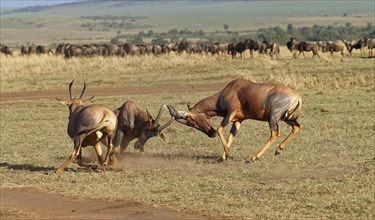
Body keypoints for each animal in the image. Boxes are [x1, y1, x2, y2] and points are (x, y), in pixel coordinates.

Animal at [167, 78, 302, 162]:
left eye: (191, 121)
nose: (211, 134)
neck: (231, 89)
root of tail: (297, 97)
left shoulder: (230, 113)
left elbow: (220, 128)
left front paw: (227, 153)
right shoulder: (238, 121)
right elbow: (230, 136)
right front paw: (221, 158)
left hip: (273, 117)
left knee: (274, 134)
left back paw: (254, 157)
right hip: (286, 118)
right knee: (297, 126)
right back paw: (278, 150)